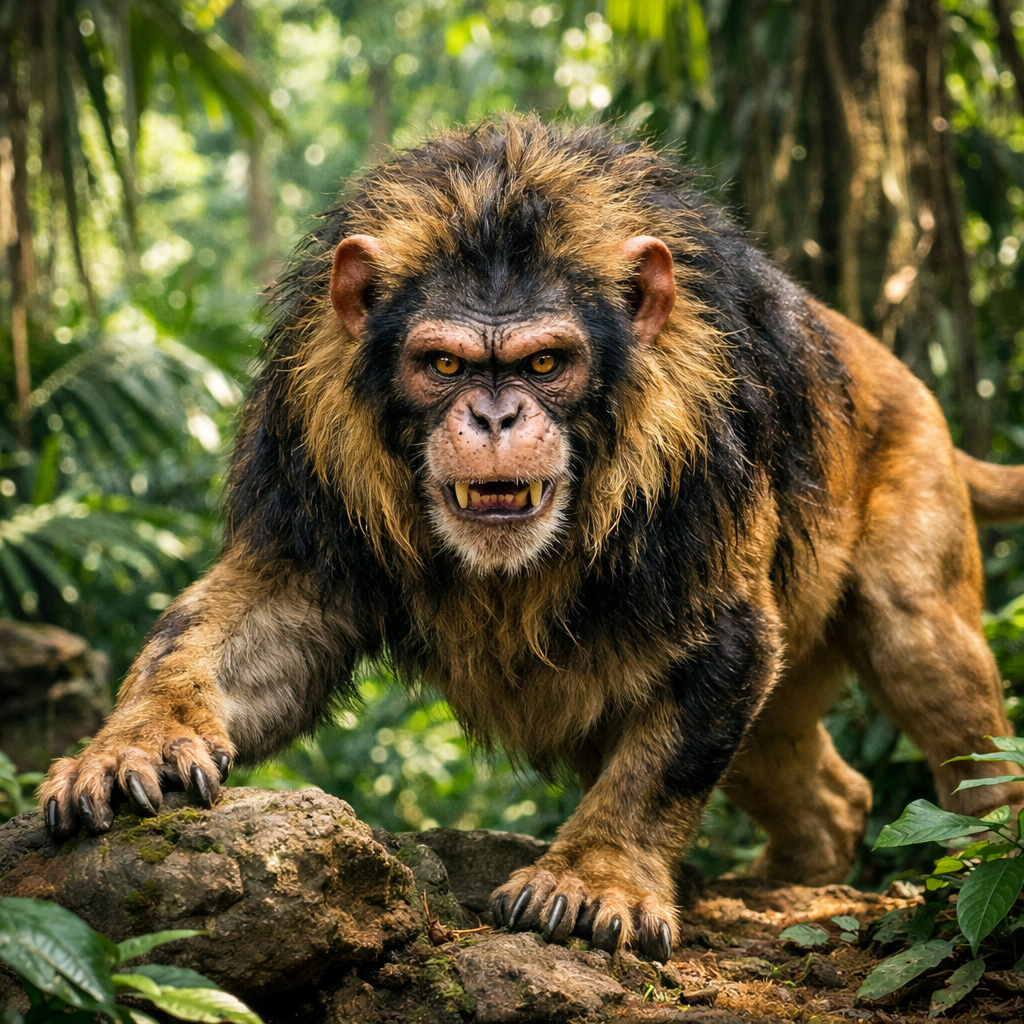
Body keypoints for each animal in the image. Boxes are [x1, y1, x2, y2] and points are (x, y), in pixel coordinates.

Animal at [38, 116, 1024, 962]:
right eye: (443, 363)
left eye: (546, 362)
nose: (497, 416)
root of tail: (910, 381)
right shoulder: (313, 478)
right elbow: (230, 633)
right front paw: (135, 748)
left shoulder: (708, 547)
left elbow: (664, 760)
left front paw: (591, 882)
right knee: (819, 782)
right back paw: (781, 883)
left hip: (915, 574)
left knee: (939, 685)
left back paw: (981, 853)